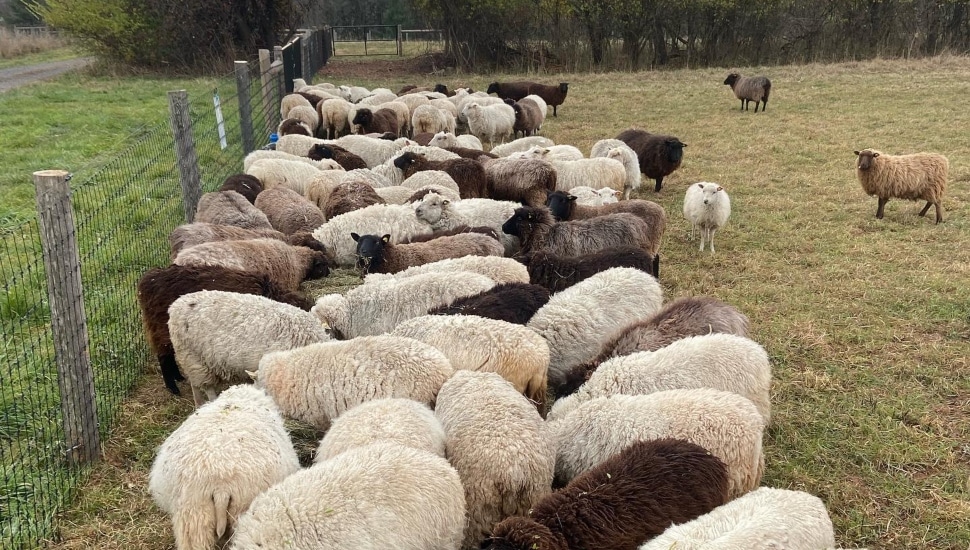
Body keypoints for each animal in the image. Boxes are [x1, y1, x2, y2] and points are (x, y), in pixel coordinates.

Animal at [167, 289, 333, 405]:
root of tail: (176, 304)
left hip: (191, 359)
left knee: (195, 384)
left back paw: (199, 404)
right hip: (194, 357)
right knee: (206, 386)